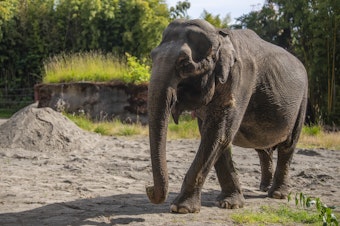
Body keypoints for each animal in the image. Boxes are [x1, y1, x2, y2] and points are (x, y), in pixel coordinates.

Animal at [146, 19, 308, 214]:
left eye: (184, 63)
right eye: (152, 56)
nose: (148, 189)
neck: (220, 35)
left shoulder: (240, 79)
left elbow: (219, 134)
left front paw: (181, 208)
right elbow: (214, 136)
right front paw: (229, 204)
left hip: (302, 101)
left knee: (288, 145)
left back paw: (277, 194)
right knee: (263, 149)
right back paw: (263, 188)